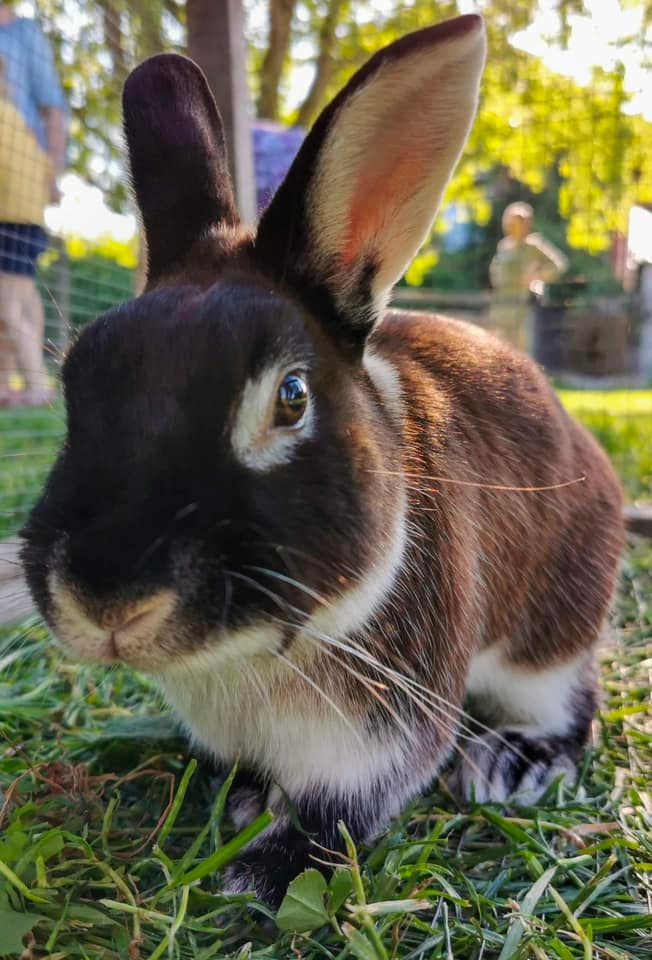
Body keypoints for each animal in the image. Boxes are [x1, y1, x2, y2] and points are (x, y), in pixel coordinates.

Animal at [21, 14, 624, 907]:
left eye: (292, 396)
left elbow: (342, 810)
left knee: (569, 705)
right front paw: (241, 802)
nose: (108, 601)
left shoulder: (383, 732)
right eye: (76, 378)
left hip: (548, 638)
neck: (246, 661)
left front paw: (258, 875)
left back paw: (510, 762)